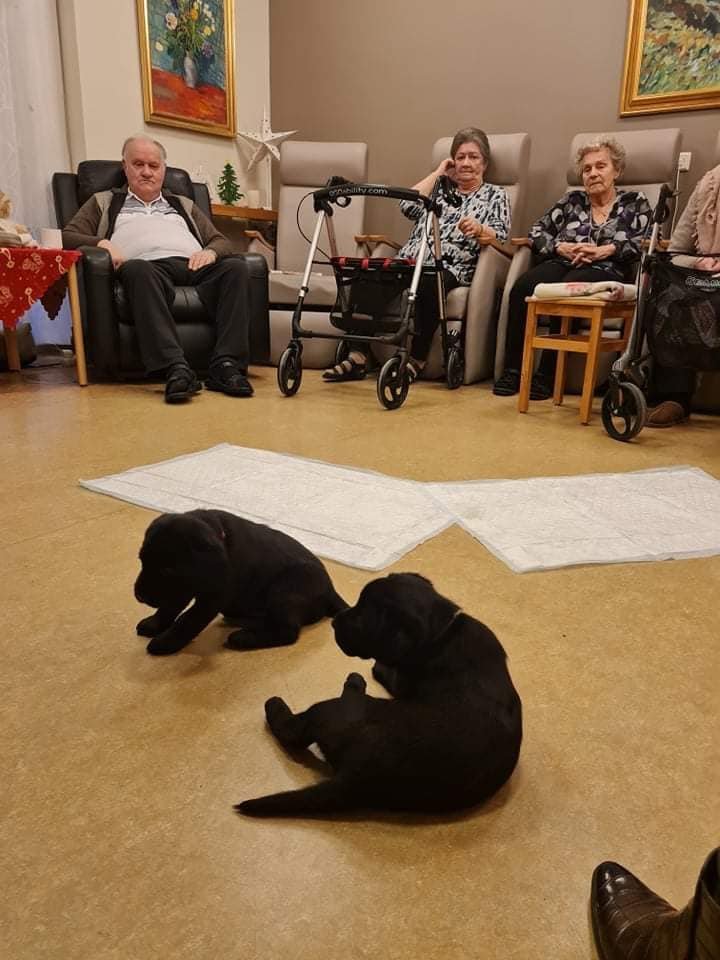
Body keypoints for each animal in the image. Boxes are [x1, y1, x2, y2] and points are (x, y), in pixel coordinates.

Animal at [134, 509, 347, 656]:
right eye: (142, 561)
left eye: (167, 570)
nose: (139, 596)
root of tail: (331, 591)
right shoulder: (181, 588)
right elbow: (169, 607)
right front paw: (154, 623)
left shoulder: (211, 597)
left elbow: (187, 620)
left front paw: (165, 642)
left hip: (285, 590)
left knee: (288, 632)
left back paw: (244, 637)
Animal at [237, 572, 522, 817]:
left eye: (362, 617)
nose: (335, 621)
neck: (442, 633)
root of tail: (356, 779)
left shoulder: (403, 678)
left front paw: (378, 667)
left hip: (334, 709)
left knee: (294, 732)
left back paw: (282, 703)